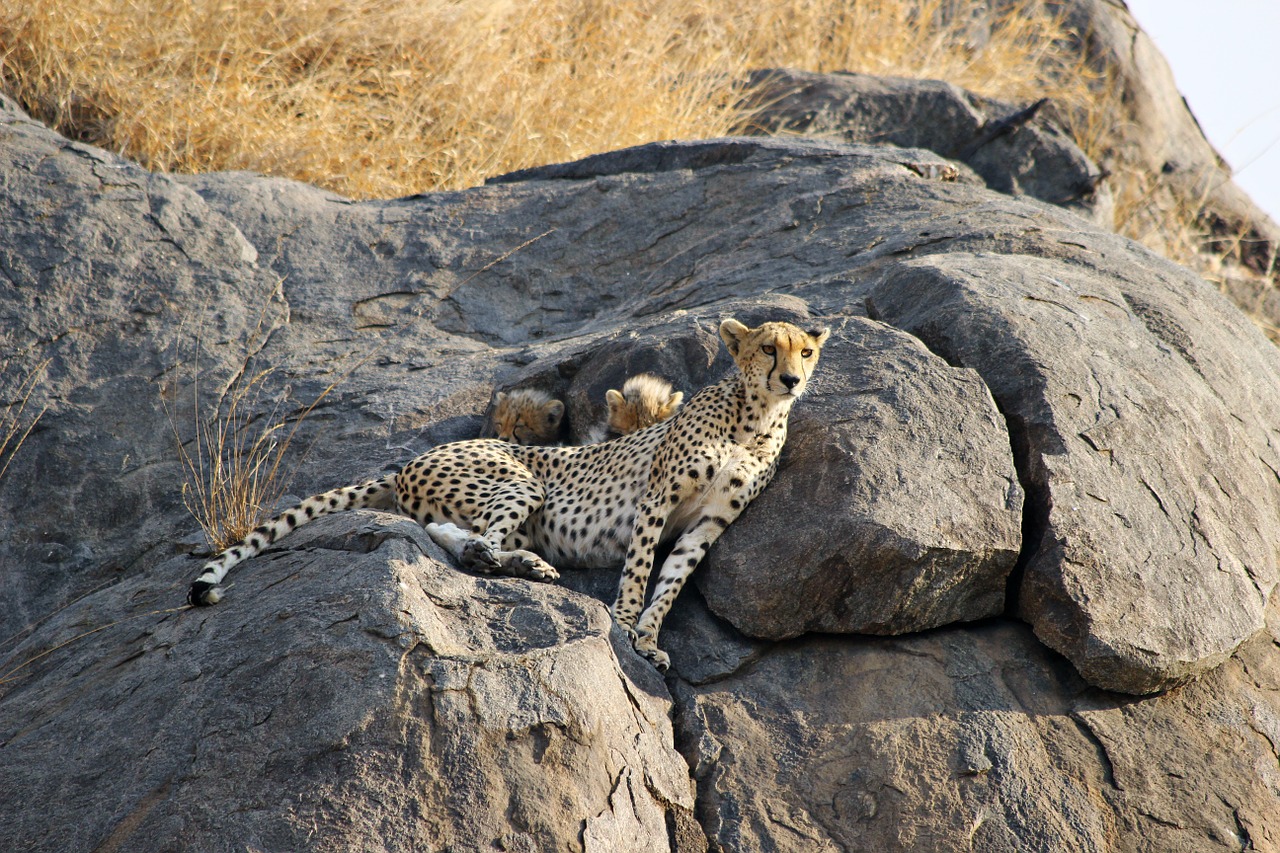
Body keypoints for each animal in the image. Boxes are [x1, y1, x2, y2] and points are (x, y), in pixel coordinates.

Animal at [189, 317, 829, 666]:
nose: (792, 379)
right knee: (467, 536)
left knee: (450, 531)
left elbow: (671, 583)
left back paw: (529, 566)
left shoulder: (708, 523)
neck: (755, 418)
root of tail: (410, 460)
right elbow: (640, 568)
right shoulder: (657, 499)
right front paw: (624, 624)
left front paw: (648, 638)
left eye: (806, 350)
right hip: (521, 481)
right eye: (767, 348)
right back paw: (509, 562)